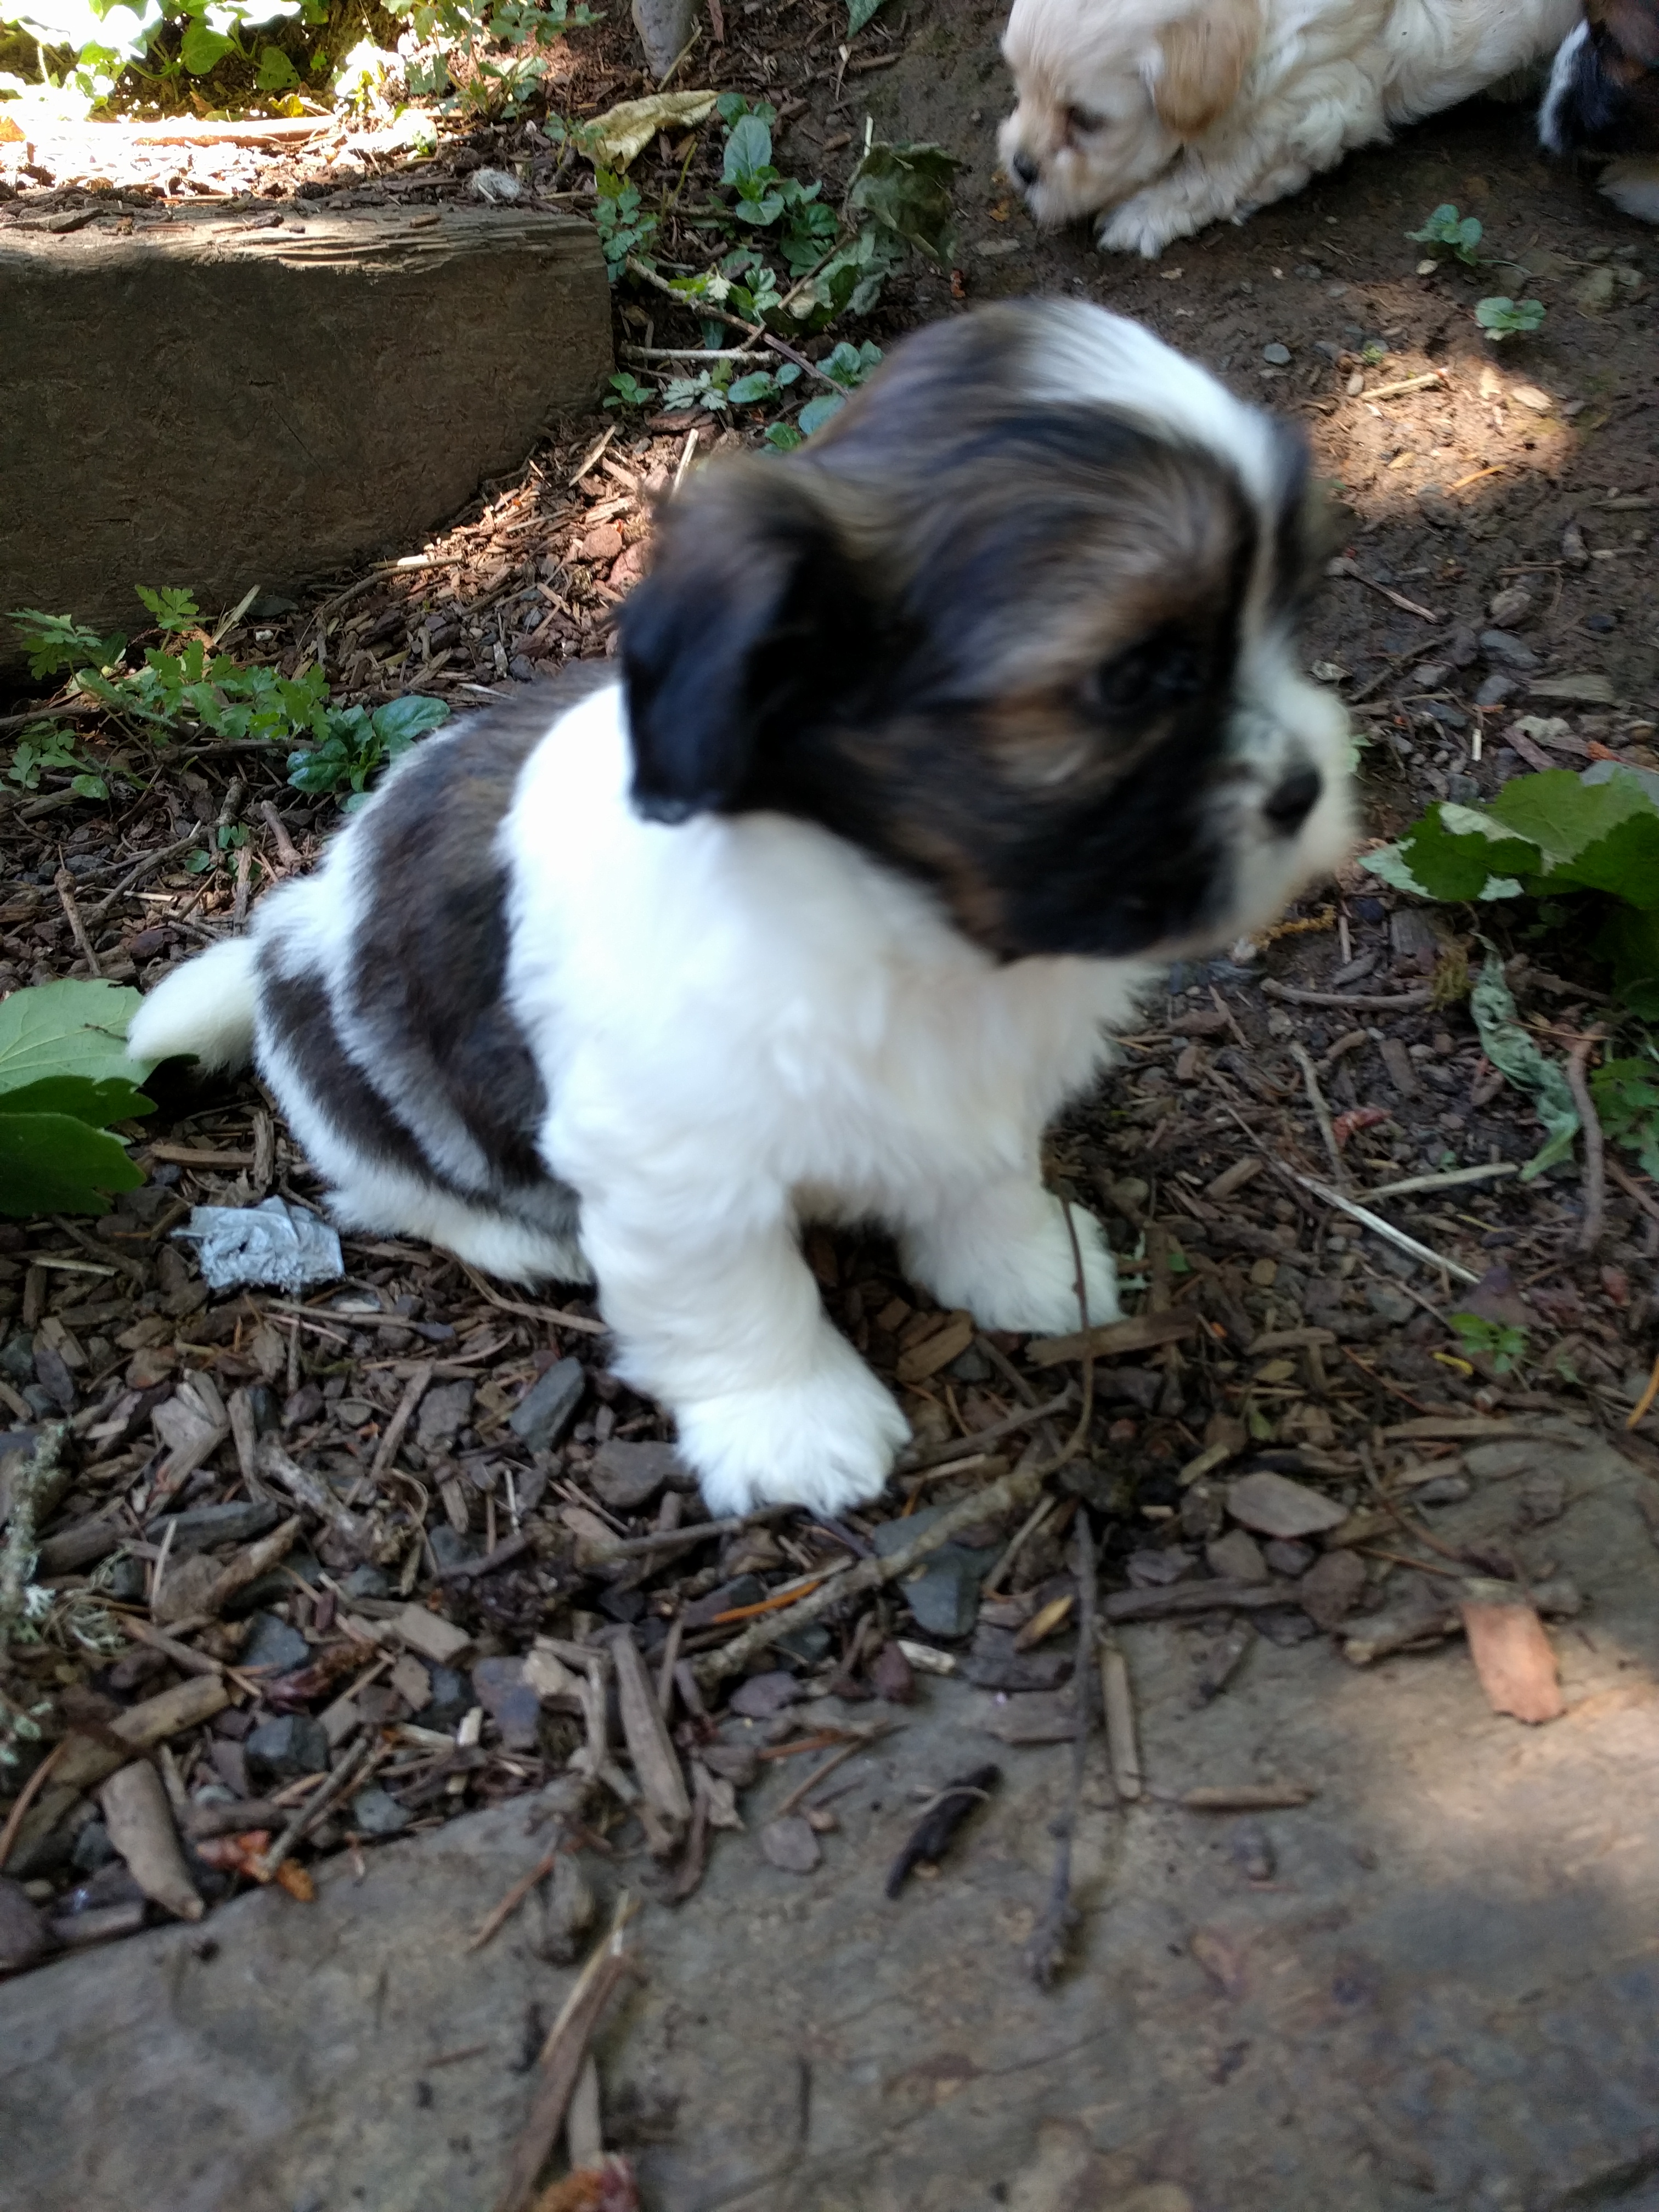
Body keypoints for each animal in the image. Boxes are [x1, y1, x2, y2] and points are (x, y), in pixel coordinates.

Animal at [128, 300, 1355, 1520]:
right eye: (1138, 677)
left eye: (1286, 610)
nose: (1308, 786)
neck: (904, 923)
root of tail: (294, 919)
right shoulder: (679, 1170)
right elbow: (735, 1298)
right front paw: (790, 1420)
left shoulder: (981, 1090)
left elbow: (985, 1175)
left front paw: (1025, 1264)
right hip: (355, 1074)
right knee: (393, 1183)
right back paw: (523, 1241)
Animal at [1000, 0, 1581, 256]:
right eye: (1017, 80)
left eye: (1086, 119)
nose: (1021, 168)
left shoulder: (1311, 106)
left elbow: (1216, 173)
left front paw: (1143, 213)